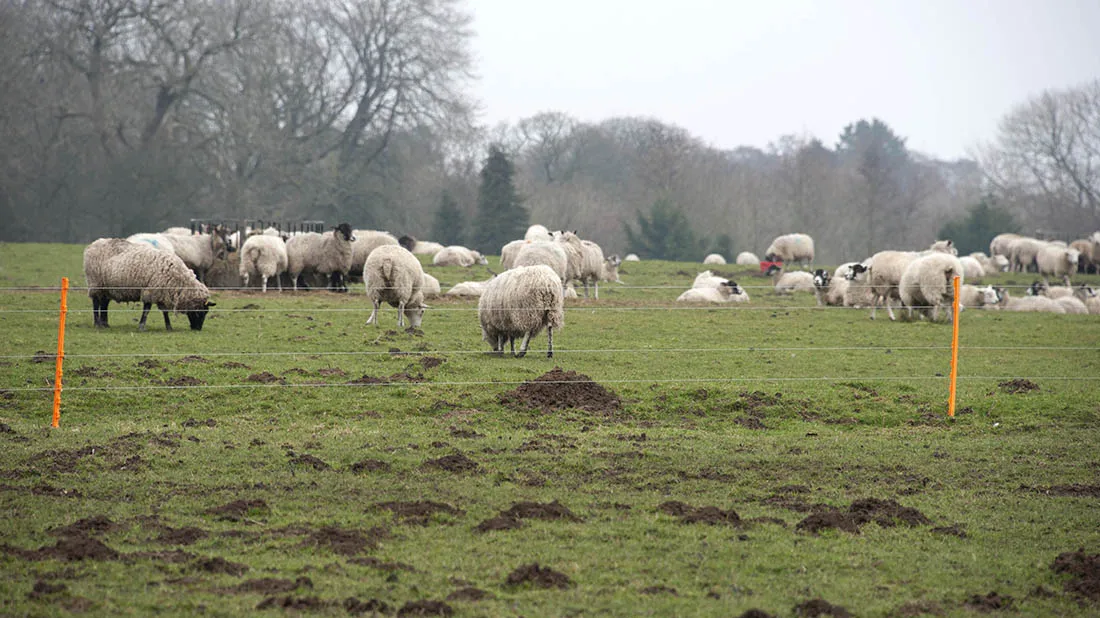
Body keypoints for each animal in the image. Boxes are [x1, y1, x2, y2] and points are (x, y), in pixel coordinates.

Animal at [82, 236, 213, 332]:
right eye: (200, 312)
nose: (198, 329)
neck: (179, 279)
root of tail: (94, 244)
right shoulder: (150, 291)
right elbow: (146, 310)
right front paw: (141, 326)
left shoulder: (161, 293)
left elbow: (165, 312)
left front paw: (169, 327)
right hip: (96, 283)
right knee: (96, 302)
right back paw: (97, 323)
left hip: (107, 287)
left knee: (104, 303)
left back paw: (105, 324)